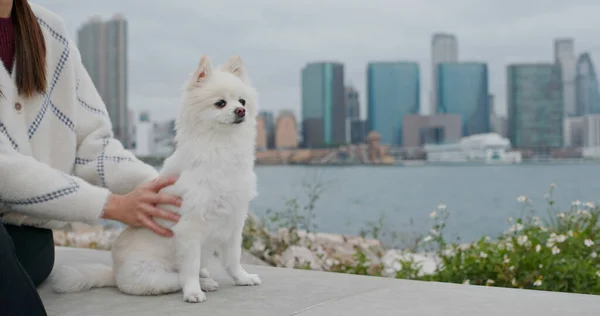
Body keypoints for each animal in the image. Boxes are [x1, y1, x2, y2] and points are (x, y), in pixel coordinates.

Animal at [53, 55, 262, 302]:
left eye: (242, 101)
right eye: (220, 103)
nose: (240, 111)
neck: (222, 146)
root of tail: (115, 275)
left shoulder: (234, 221)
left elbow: (233, 258)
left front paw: (242, 277)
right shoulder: (189, 228)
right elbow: (190, 266)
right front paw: (193, 291)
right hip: (154, 278)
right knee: (178, 277)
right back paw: (202, 283)